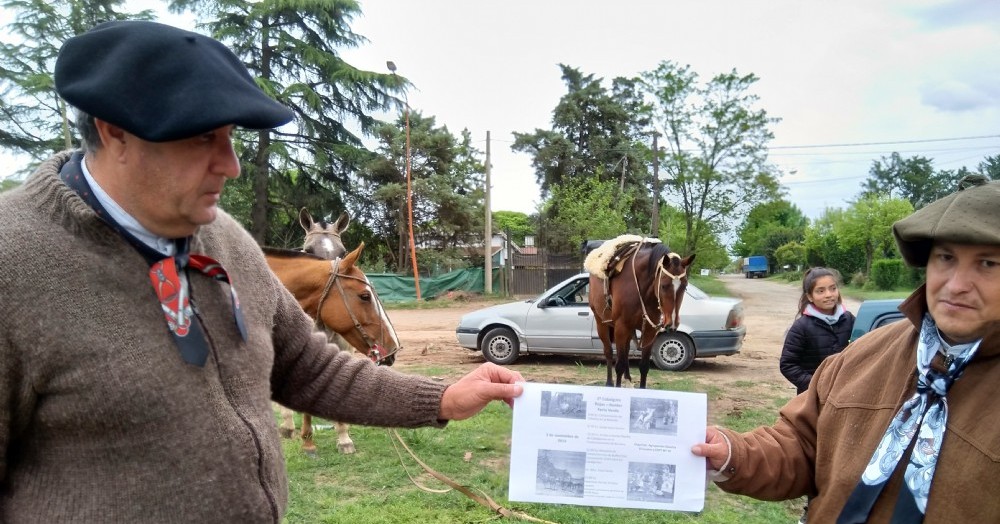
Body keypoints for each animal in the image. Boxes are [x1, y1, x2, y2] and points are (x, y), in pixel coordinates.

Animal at [584, 235, 696, 386]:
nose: (671, 323)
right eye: (664, 285)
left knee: (625, 351)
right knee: (608, 352)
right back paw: (609, 382)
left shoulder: (649, 331)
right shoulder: (621, 327)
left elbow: (644, 366)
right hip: (601, 323)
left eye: (684, 286)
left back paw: (628, 379)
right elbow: (619, 365)